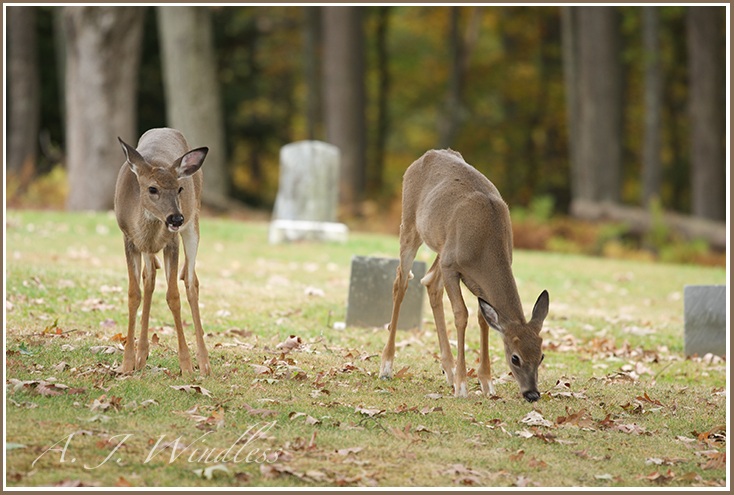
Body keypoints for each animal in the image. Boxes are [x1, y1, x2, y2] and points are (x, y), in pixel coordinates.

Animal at [115, 128, 211, 376]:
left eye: (179, 188)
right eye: (152, 189)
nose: (176, 218)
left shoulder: (172, 242)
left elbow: (173, 296)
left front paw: (186, 365)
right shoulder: (129, 239)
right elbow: (134, 294)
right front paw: (127, 363)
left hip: (194, 221)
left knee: (191, 282)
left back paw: (204, 362)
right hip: (149, 250)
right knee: (149, 279)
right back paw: (142, 355)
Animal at [382, 150, 548, 404]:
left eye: (541, 356)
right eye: (515, 357)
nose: (532, 394)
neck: (485, 247)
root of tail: (423, 157)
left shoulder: (474, 278)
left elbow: (483, 317)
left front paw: (486, 383)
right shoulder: (452, 265)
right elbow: (461, 314)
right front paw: (462, 386)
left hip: (441, 246)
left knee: (430, 282)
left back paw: (448, 370)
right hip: (410, 224)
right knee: (400, 281)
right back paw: (387, 366)